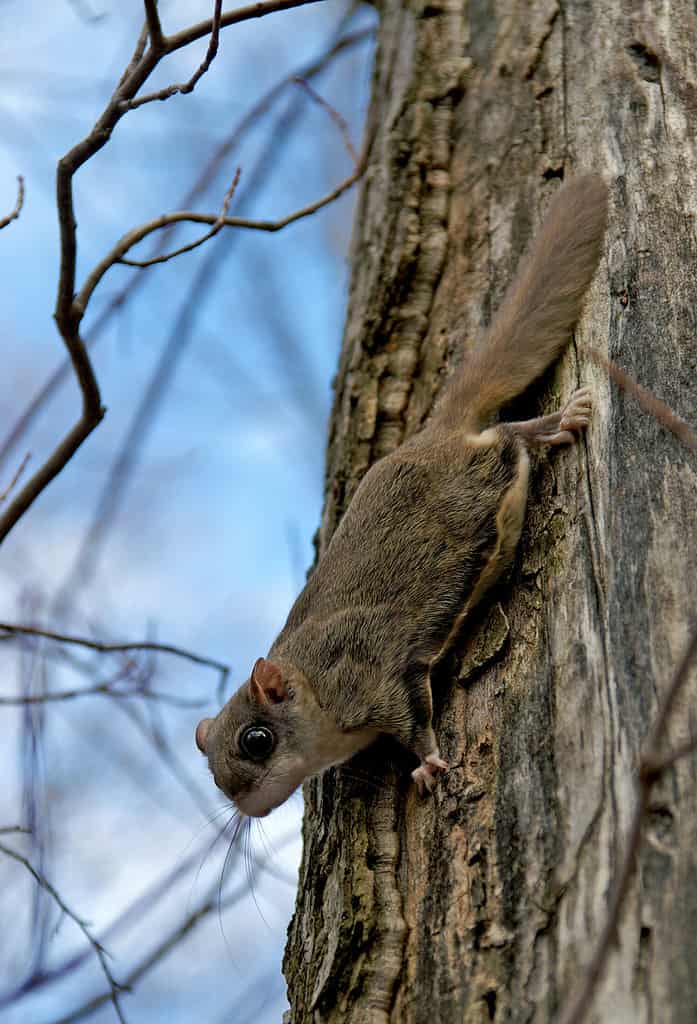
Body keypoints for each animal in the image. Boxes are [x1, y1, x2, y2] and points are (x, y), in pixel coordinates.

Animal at [195, 175, 608, 817]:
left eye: (256, 740)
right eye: (214, 774)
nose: (247, 806)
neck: (313, 681)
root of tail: (435, 435)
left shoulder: (377, 677)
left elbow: (415, 722)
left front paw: (430, 765)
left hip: (477, 484)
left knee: (507, 440)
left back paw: (558, 422)